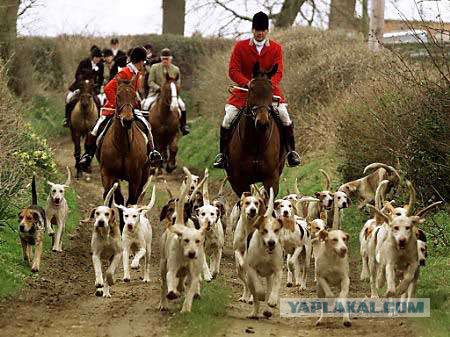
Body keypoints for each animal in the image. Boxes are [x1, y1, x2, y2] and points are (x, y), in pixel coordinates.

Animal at [96, 75, 149, 230]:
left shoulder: (135, 177)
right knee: (119, 199)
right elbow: (109, 199)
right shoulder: (108, 174)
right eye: (118, 96)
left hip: (144, 174)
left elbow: (131, 202)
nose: (127, 120)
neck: (123, 145)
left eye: (134, 96)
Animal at [225, 61, 284, 196]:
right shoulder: (239, 181)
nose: (262, 123)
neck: (256, 140)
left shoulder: (271, 178)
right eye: (251, 89)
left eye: (271, 90)